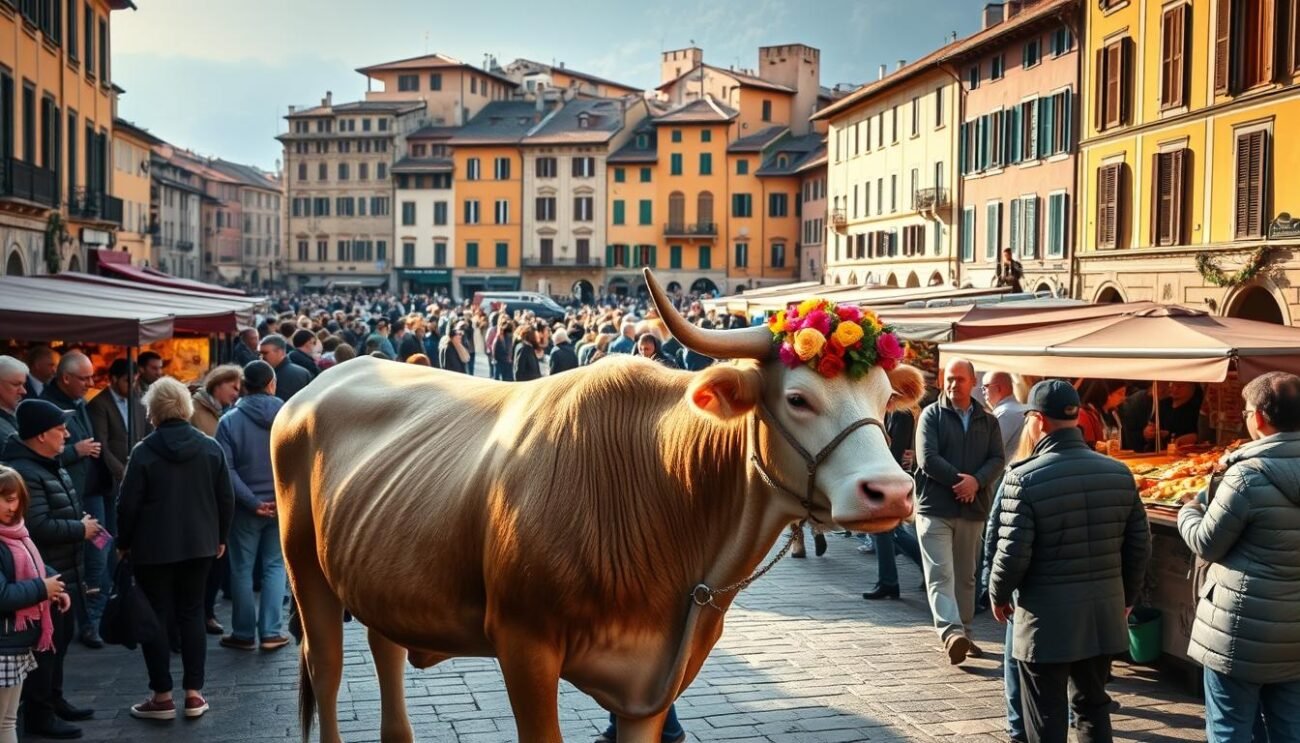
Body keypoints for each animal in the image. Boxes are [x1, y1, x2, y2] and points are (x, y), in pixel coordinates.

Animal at [274, 269, 924, 743]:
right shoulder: (524, 646)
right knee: (327, 672)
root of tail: (318, 385)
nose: (891, 491)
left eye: (885, 396)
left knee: (384, 654)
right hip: (305, 571)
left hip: (380, 577)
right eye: (797, 398)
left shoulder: (653, 686)